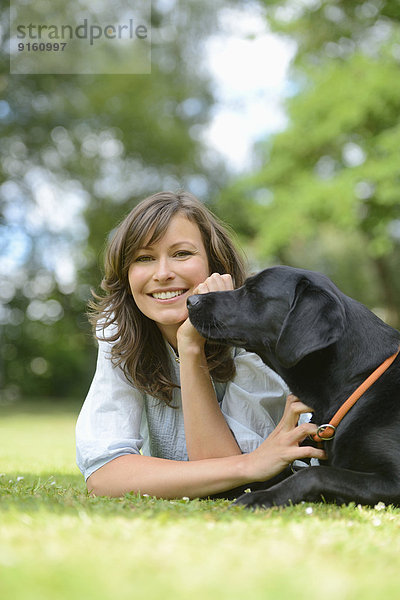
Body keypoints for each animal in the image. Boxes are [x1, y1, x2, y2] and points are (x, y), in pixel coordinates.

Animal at [188, 266, 400, 506]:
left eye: (252, 291)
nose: (190, 300)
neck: (355, 382)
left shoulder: (392, 479)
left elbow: (312, 473)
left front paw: (260, 497)